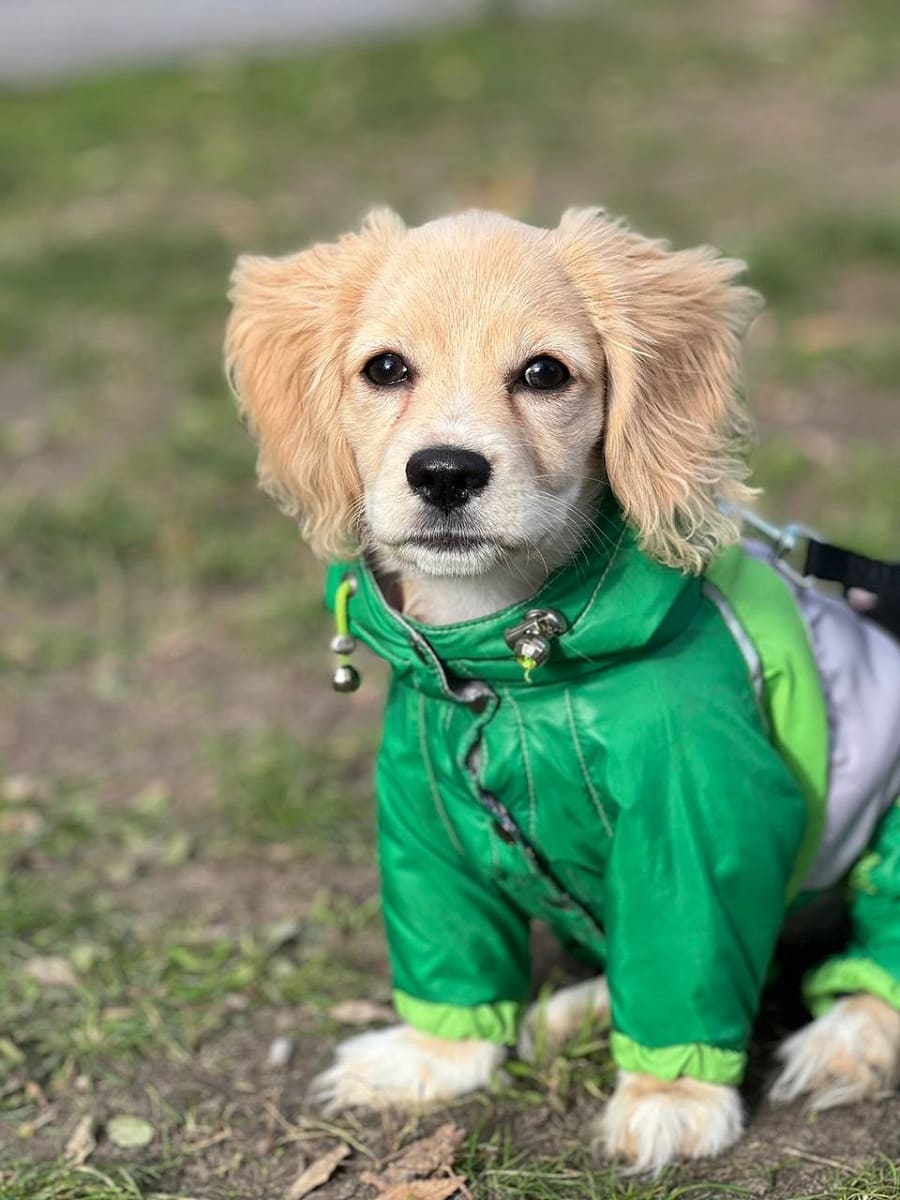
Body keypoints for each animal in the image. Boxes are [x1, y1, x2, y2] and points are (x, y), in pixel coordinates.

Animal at [225, 208, 900, 1172]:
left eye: (544, 373)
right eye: (386, 369)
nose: (444, 472)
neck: (509, 680)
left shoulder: (696, 827)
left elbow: (683, 952)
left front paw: (672, 1094)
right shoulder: (425, 822)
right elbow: (455, 946)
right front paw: (433, 1056)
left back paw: (847, 1039)